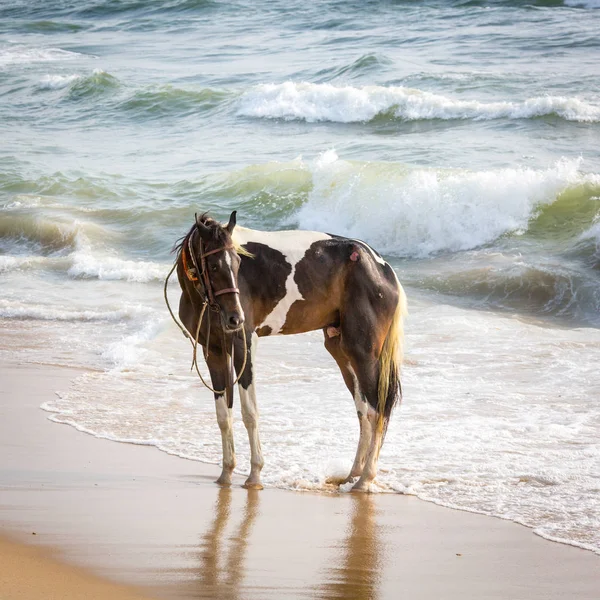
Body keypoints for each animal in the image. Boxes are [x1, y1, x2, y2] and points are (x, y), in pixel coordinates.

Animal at [169, 211, 408, 492]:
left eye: (238, 263)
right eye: (214, 266)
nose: (235, 318)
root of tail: (382, 268)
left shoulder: (244, 345)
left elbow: (249, 412)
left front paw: (255, 475)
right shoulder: (213, 351)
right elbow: (223, 415)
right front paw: (226, 473)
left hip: (363, 353)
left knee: (377, 410)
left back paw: (365, 479)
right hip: (342, 351)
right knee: (363, 410)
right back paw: (353, 475)